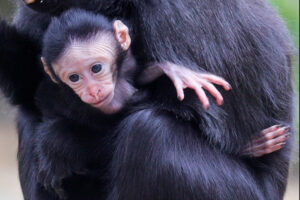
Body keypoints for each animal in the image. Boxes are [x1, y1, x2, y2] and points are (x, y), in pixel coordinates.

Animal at [0, 0, 296, 200]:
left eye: (97, 68)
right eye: (74, 76)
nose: (92, 91)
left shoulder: (176, 11)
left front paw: (62, 141)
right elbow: (31, 89)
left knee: (150, 131)